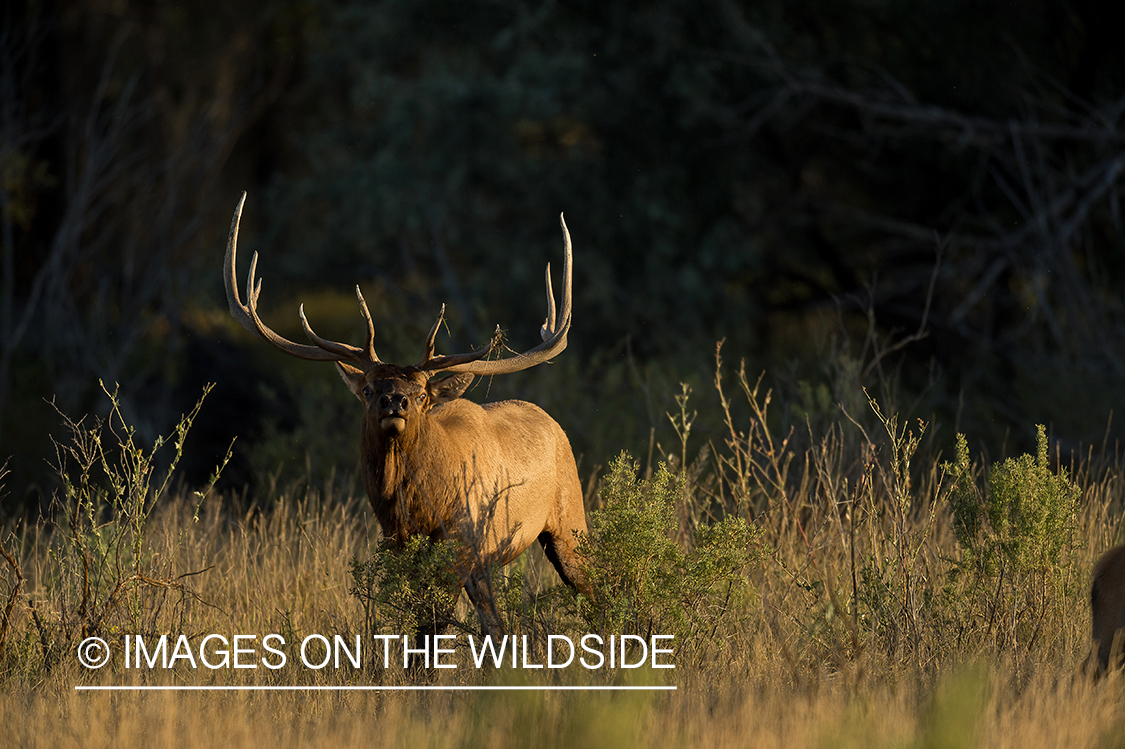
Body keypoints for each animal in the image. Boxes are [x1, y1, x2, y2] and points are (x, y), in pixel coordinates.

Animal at [220, 191, 589, 629]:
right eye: (367, 388)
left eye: (422, 393)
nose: (394, 400)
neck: (416, 513)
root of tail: (556, 426)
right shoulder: (403, 553)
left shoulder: (459, 549)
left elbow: (434, 627)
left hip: (569, 522)